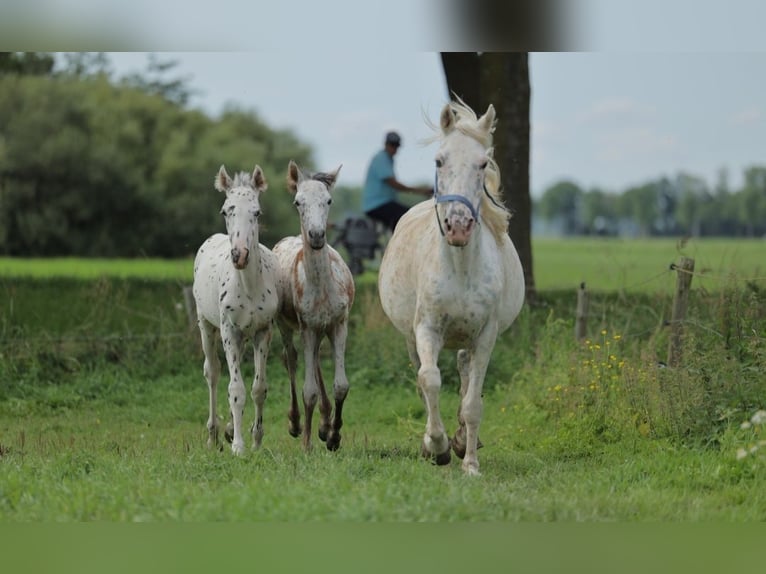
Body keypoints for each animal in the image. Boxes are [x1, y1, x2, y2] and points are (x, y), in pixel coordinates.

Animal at [194, 164, 280, 456]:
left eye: (257, 212)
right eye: (225, 210)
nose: (239, 255)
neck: (248, 285)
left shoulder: (263, 332)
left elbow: (258, 388)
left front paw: (256, 440)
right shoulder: (229, 331)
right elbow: (236, 389)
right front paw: (238, 447)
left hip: (242, 337)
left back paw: (230, 429)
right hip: (207, 326)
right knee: (212, 372)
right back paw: (213, 435)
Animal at [274, 161, 356, 454]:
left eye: (328, 200)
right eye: (298, 202)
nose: (317, 235)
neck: (322, 288)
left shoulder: (340, 323)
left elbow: (341, 385)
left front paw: (333, 436)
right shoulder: (306, 326)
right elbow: (307, 390)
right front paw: (307, 444)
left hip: (321, 328)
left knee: (317, 359)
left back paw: (324, 422)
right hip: (286, 325)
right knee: (291, 359)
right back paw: (297, 423)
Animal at [380, 100, 528, 476]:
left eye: (482, 163)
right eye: (439, 160)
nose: (458, 227)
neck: (460, 266)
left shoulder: (486, 335)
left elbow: (473, 401)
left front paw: (470, 462)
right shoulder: (427, 329)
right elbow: (430, 380)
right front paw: (437, 447)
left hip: (468, 338)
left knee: (464, 370)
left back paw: (462, 439)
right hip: (410, 336)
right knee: (423, 377)